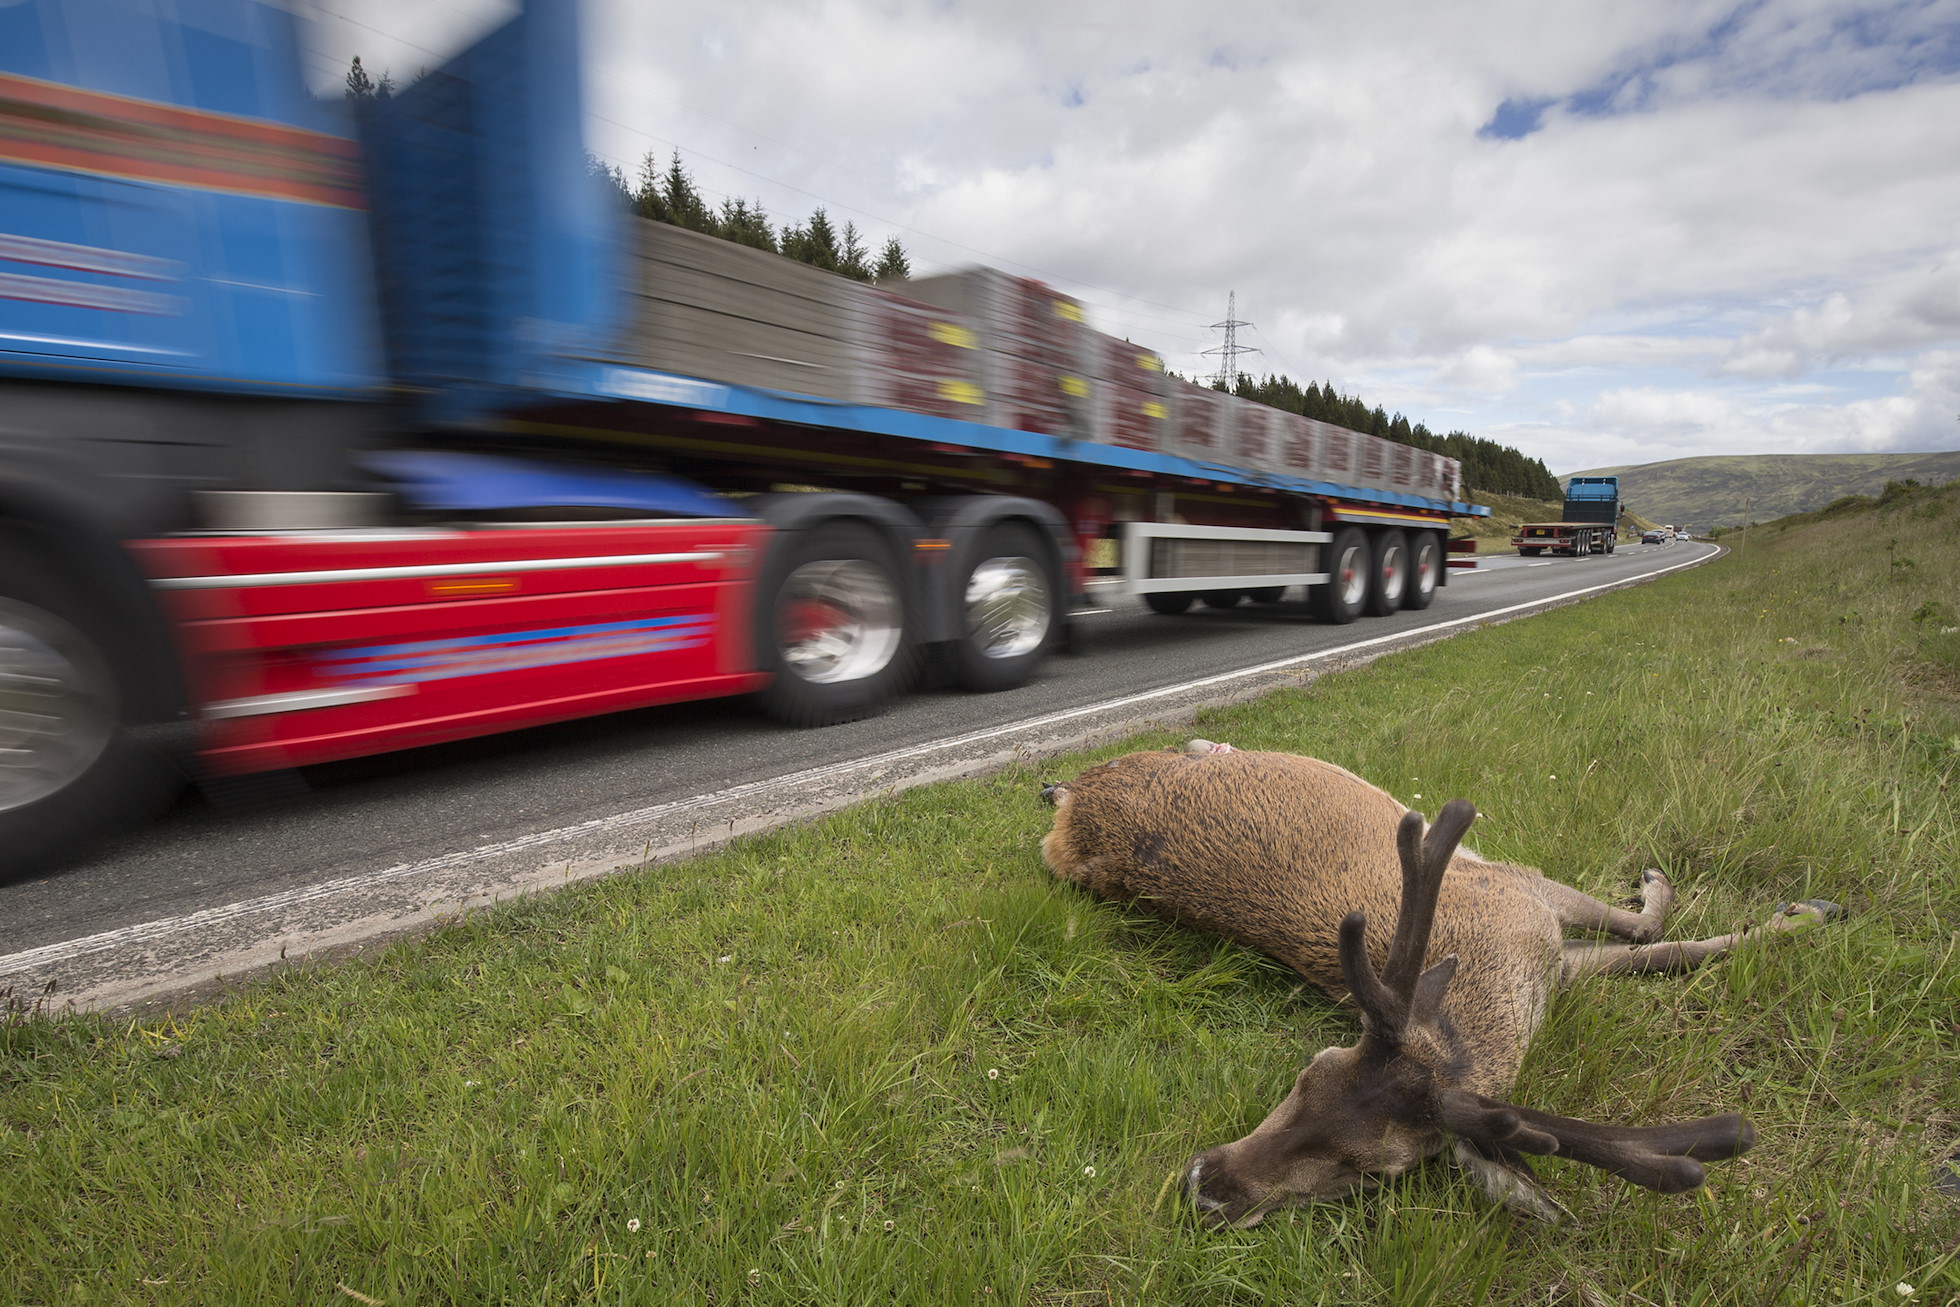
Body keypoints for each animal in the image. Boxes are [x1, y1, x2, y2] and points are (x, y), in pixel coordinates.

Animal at [1039, 740, 1838, 1226]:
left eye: (1371, 1171)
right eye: (1304, 1076)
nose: (1205, 1187)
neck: (1498, 983)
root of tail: (1069, 806)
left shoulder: (1547, 943)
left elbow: (1661, 948)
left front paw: (1804, 913)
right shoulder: (1516, 884)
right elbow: (1645, 931)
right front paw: (1799, 909)